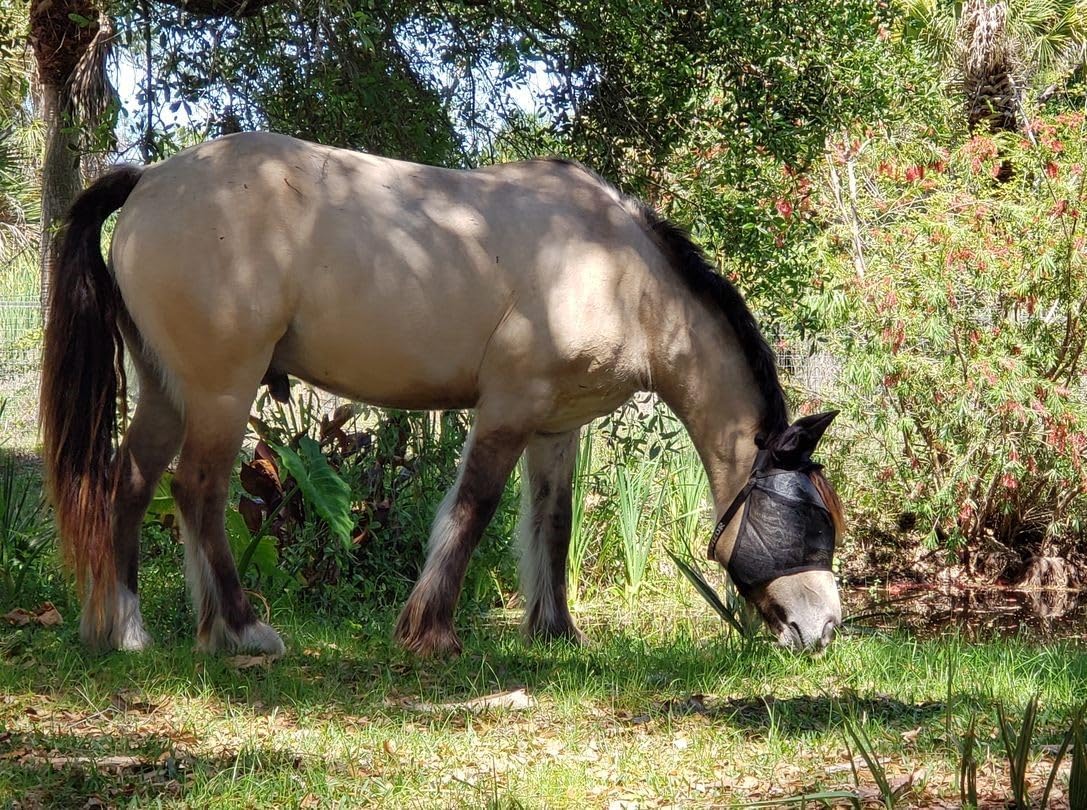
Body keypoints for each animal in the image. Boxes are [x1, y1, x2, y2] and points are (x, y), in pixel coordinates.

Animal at [40, 131, 844, 658]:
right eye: (810, 522)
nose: (824, 629)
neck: (616, 270)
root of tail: (150, 179)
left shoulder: (557, 426)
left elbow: (552, 522)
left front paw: (556, 632)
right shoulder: (508, 408)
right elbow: (473, 509)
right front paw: (430, 631)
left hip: (167, 390)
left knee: (131, 484)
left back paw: (127, 629)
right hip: (221, 391)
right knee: (198, 489)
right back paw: (239, 630)